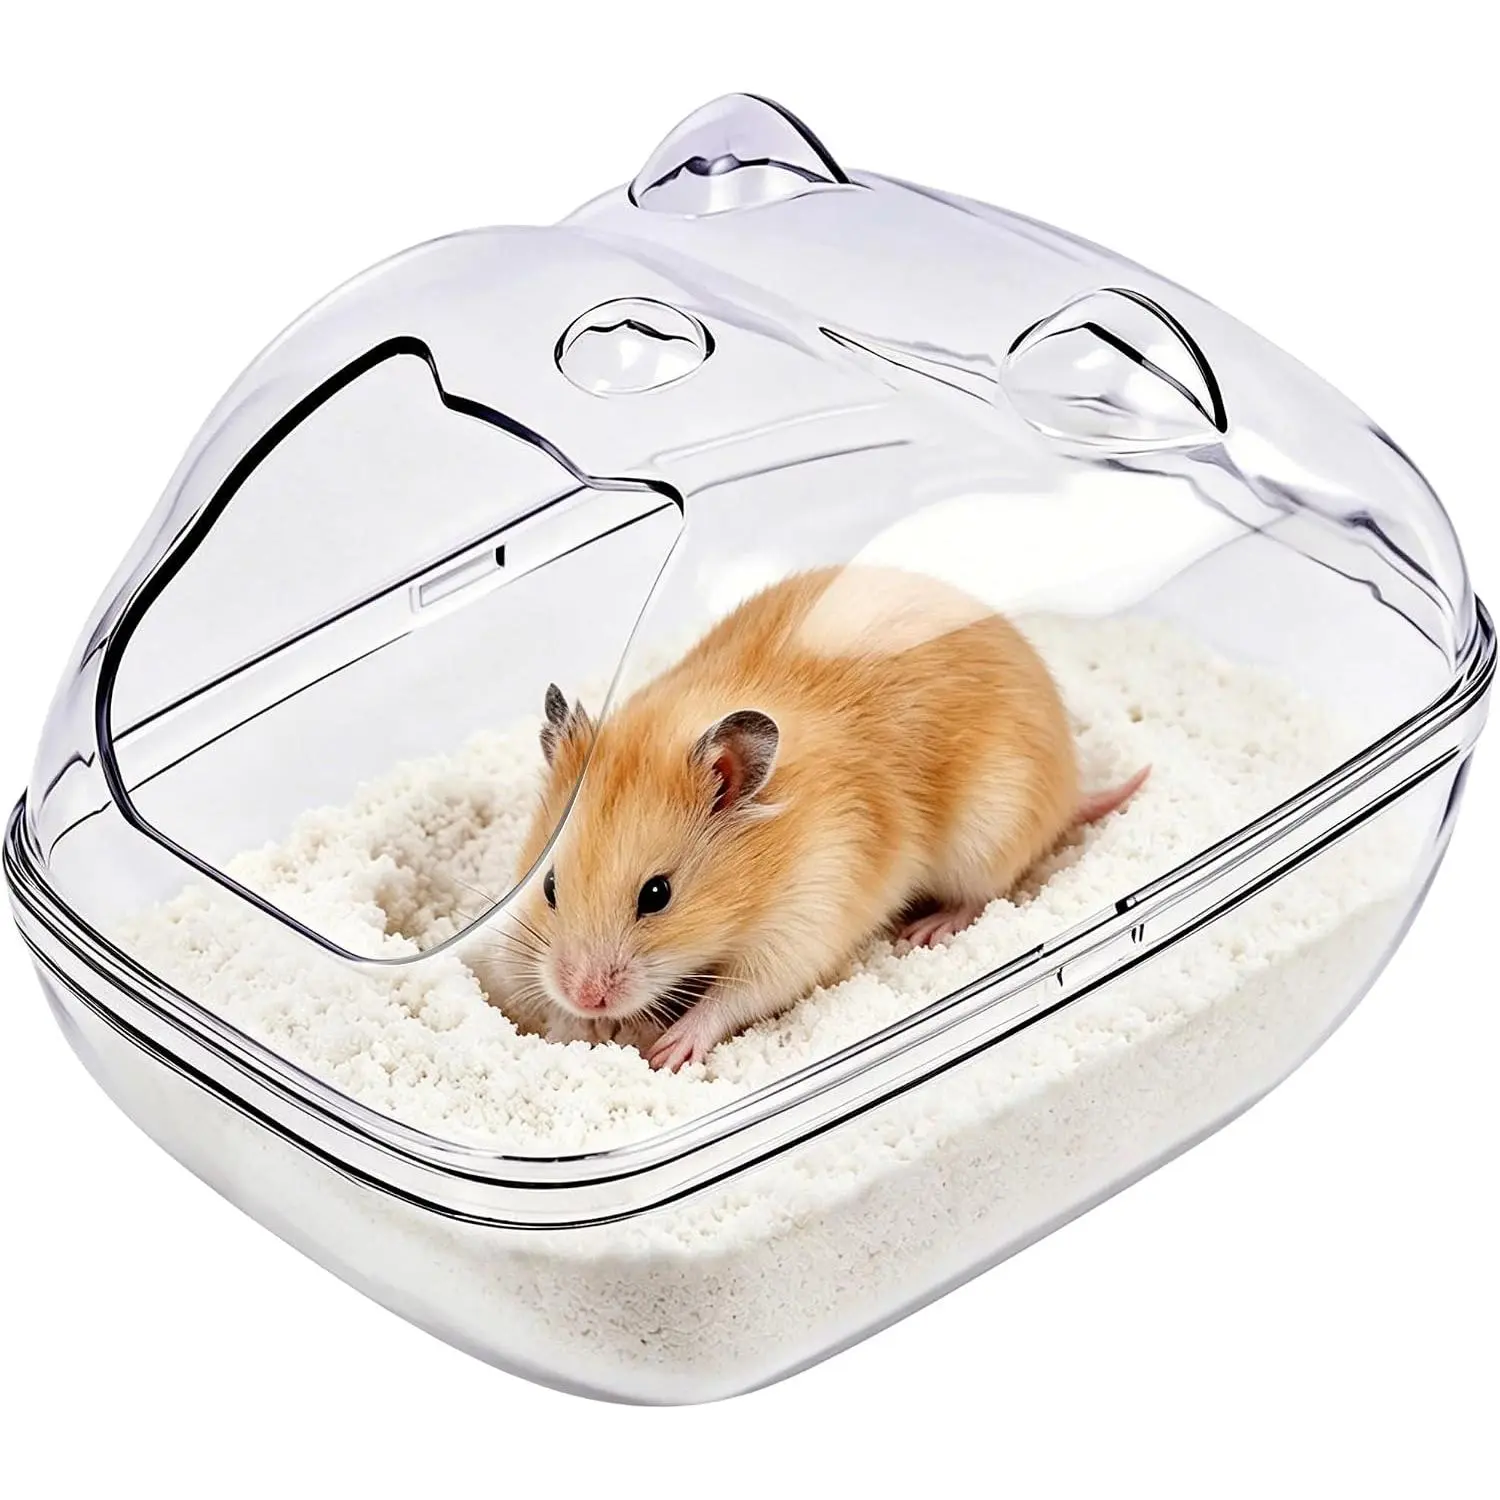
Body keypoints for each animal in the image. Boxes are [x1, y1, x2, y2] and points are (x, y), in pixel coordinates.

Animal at [477, 566, 1148, 1072]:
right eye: (549, 886)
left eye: (657, 895)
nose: (585, 996)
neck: (760, 869)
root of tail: (1071, 779)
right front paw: (570, 1029)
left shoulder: (807, 915)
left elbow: (737, 996)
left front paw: (667, 1050)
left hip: (990, 831)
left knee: (984, 893)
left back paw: (927, 930)